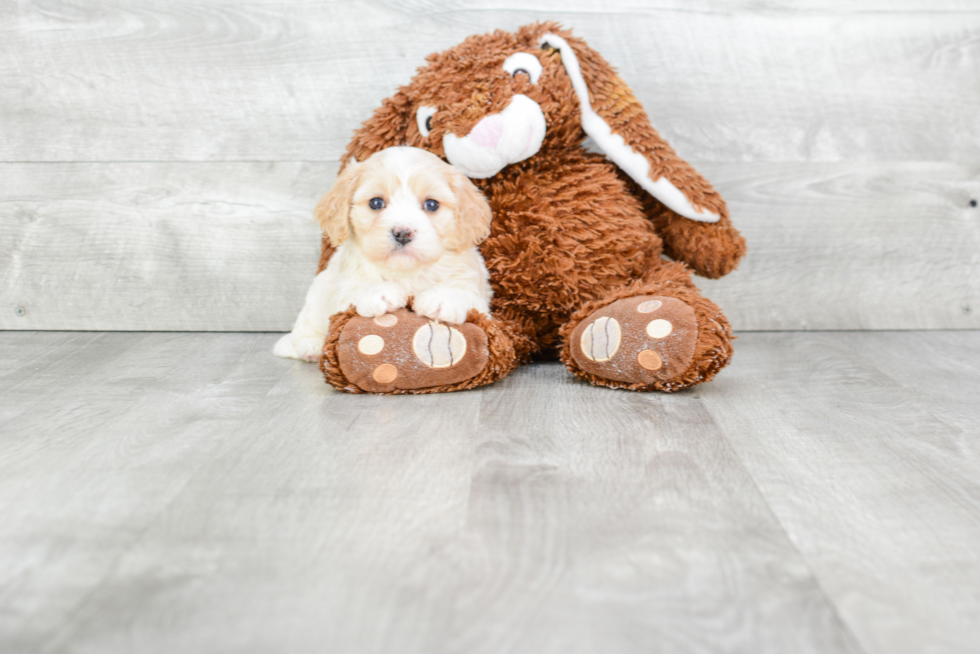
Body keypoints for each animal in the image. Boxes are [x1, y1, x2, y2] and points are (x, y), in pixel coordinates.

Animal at [274, 146, 490, 364]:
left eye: (431, 204)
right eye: (376, 203)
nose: (402, 233)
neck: (406, 271)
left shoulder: (477, 294)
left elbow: (463, 292)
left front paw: (441, 298)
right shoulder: (344, 286)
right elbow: (355, 288)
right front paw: (379, 291)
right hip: (316, 293)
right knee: (307, 326)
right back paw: (312, 346)